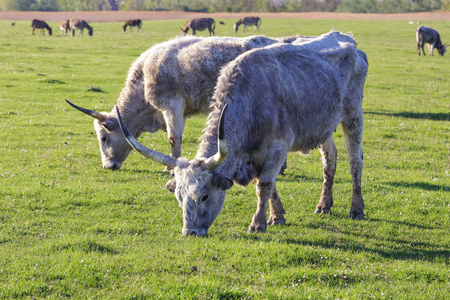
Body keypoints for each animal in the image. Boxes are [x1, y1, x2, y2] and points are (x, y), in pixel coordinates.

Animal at [117, 31, 370, 237]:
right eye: (180, 198)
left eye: (204, 196)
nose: (190, 232)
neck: (251, 99)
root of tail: (349, 40)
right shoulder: (256, 153)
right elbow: (270, 185)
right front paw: (277, 215)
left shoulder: (278, 146)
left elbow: (265, 184)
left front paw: (258, 223)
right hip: (324, 125)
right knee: (329, 160)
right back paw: (324, 204)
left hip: (353, 116)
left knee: (355, 160)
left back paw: (356, 208)